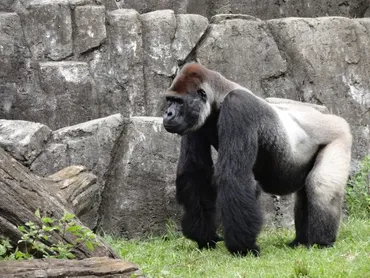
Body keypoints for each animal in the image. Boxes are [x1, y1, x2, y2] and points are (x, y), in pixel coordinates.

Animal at [162, 62, 352, 255]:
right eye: (169, 100)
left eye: (179, 102)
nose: (168, 113)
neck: (220, 96)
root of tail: (330, 116)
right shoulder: (195, 122)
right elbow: (195, 174)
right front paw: (205, 237)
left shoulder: (238, 106)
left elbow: (234, 176)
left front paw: (243, 248)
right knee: (307, 190)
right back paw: (301, 241)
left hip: (340, 134)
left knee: (321, 185)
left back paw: (321, 242)